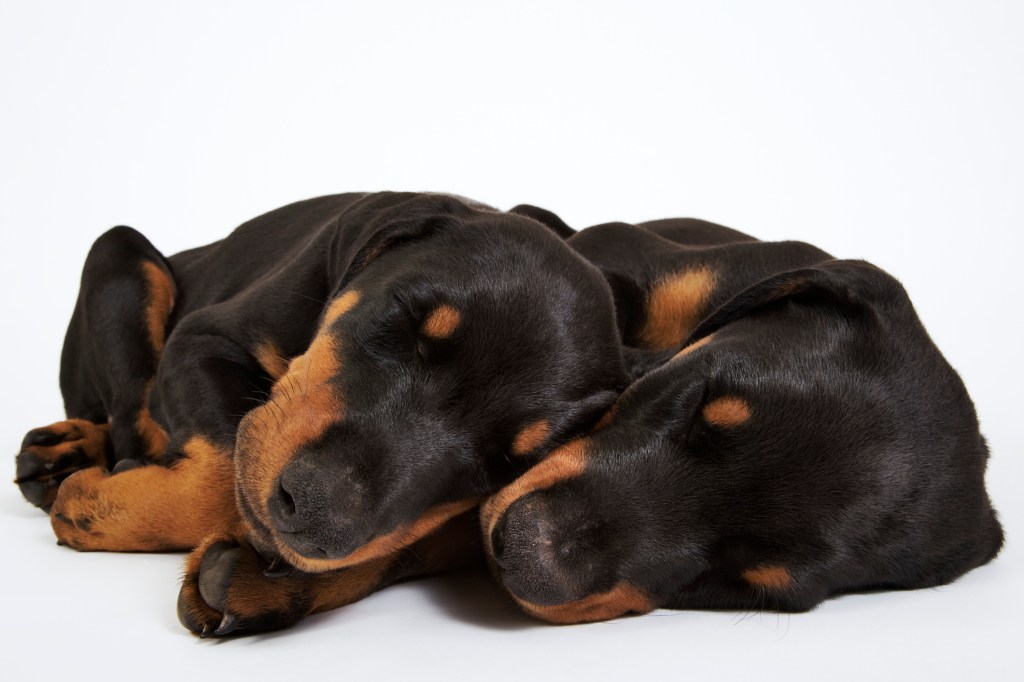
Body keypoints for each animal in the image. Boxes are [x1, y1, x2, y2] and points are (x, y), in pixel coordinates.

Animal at [12, 191, 626, 630]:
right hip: (119, 255)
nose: (312, 514)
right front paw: (96, 504)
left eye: (502, 464)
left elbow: (396, 544)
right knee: (132, 413)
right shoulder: (200, 338)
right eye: (404, 322)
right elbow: (223, 465)